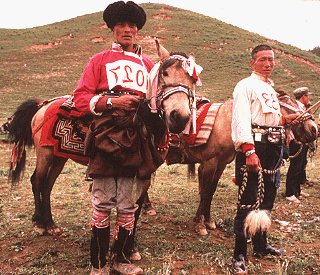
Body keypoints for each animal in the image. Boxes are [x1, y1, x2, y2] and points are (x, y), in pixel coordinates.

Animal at [7, 40, 199, 236]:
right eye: (165, 73)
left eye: (193, 80)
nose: (180, 117)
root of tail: (42, 106)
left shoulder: (144, 173)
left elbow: (135, 207)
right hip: (45, 153)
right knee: (37, 181)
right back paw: (39, 223)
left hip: (59, 156)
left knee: (47, 185)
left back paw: (50, 224)